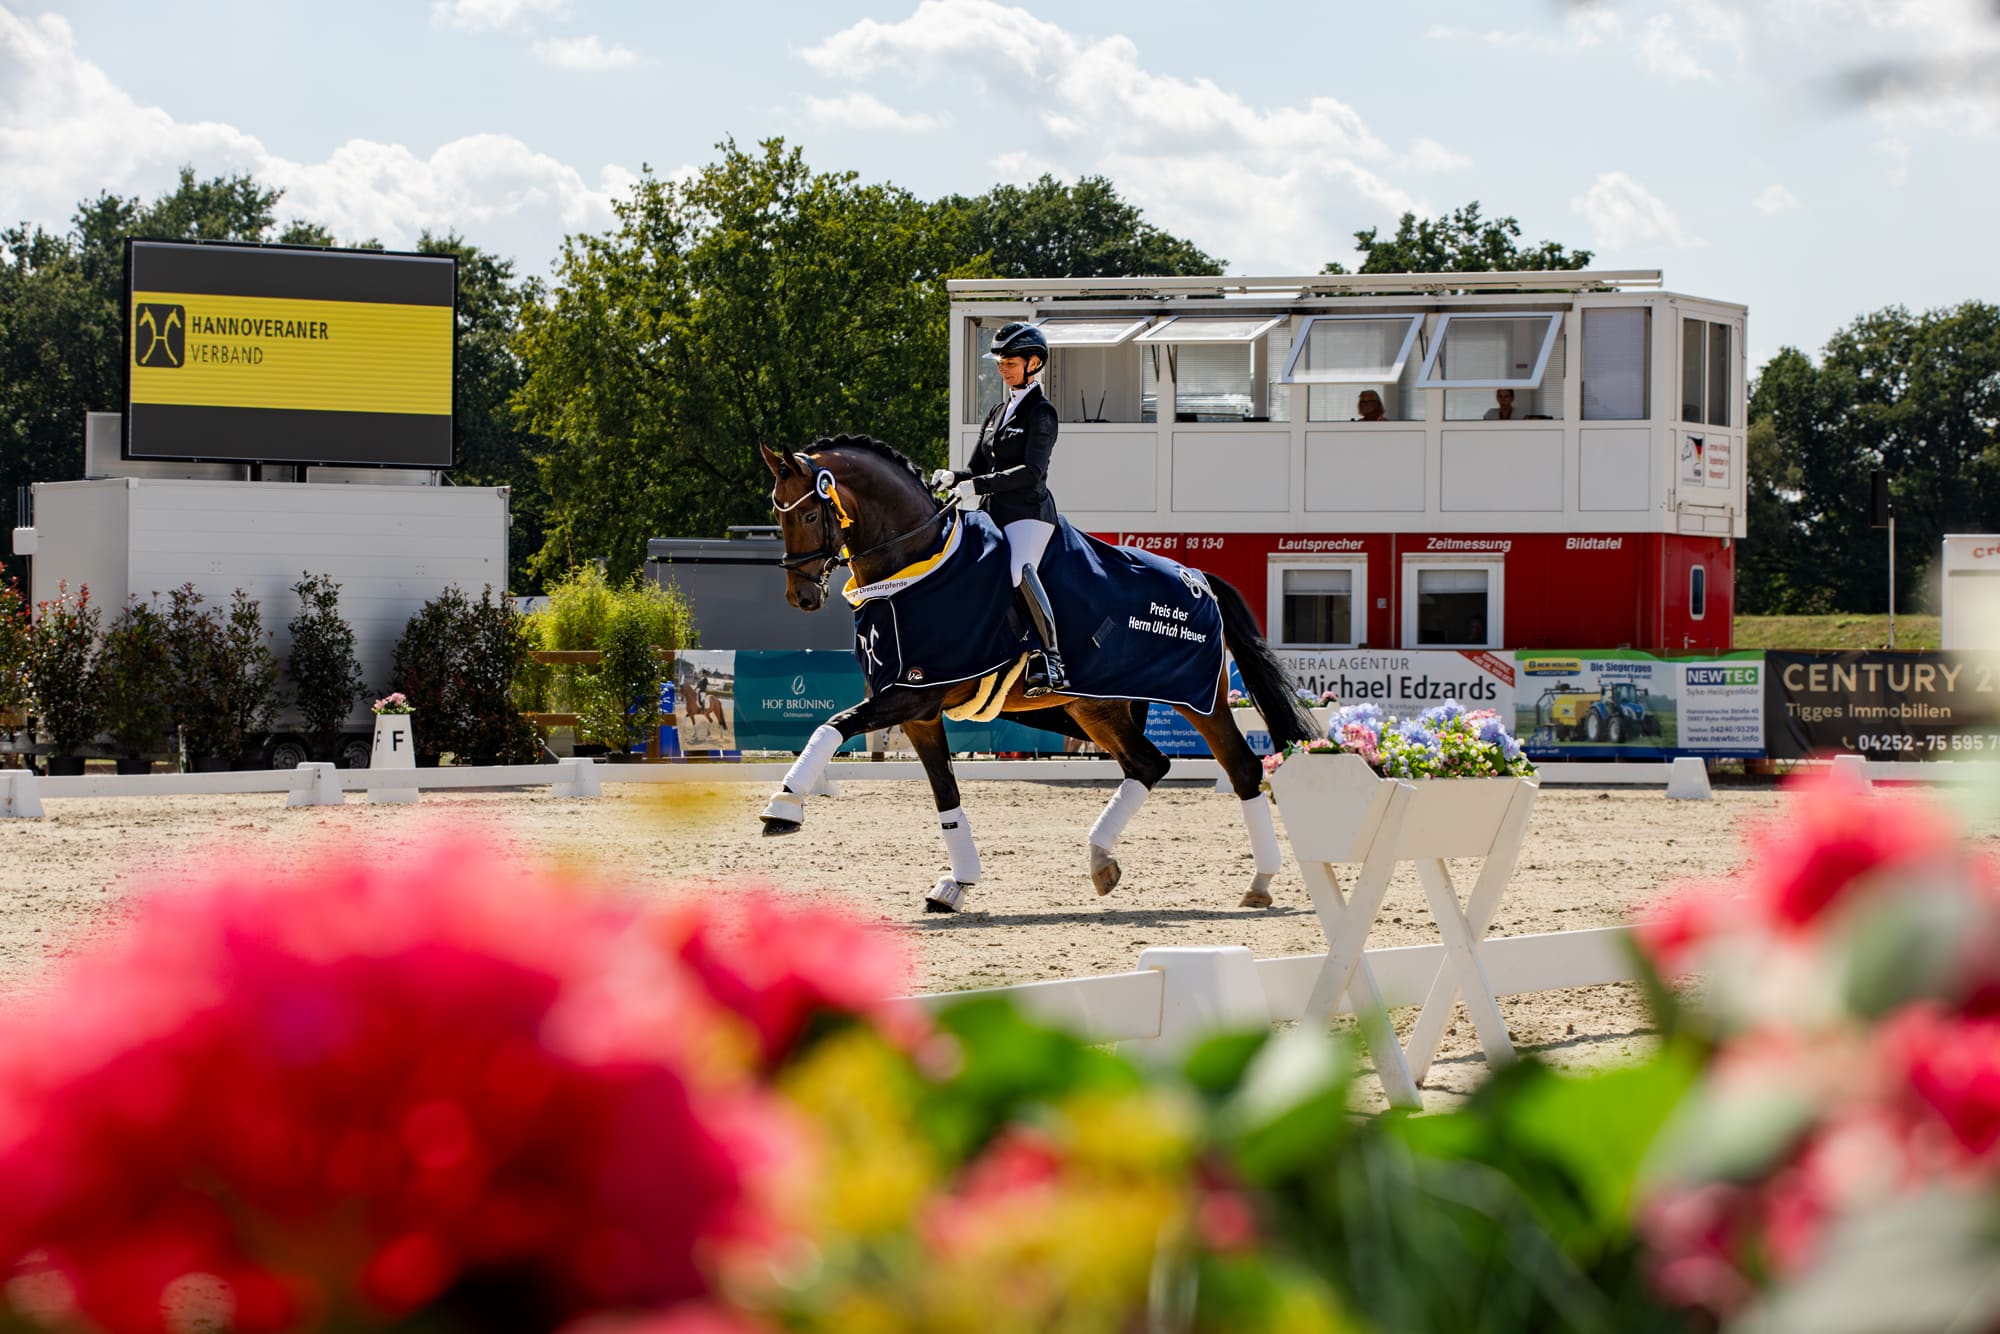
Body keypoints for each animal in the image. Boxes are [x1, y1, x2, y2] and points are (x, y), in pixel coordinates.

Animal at [756, 438, 1320, 920]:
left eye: (810, 513)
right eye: (777, 514)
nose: (800, 597)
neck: (915, 569)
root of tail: (1198, 577)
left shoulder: (913, 695)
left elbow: (830, 726)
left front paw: (784, 808)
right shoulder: (919, 712)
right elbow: (945, 795)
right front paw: (956, 885)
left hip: (1196, 698)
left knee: (1242, 768)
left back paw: (1260, 883)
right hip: (1096, 705)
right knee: (1149, 764)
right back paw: (1102, 861)